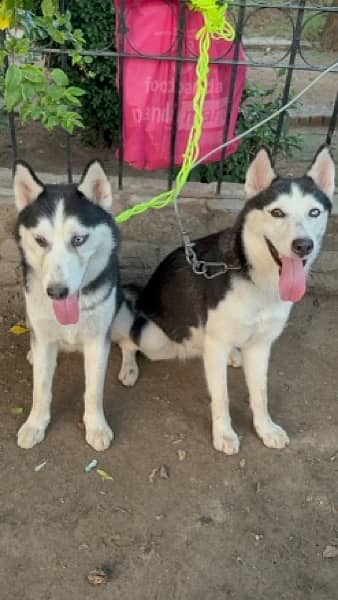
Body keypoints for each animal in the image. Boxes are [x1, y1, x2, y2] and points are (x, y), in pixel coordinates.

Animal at [13, 159, 121, 450]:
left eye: (78, 239)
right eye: (40, 240)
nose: (57, 292)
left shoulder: (97, 339)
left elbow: (93, 390)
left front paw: (96, 426)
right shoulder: (43, 336)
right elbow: (41, 388)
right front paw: (35, 424)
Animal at [112, 146, 334, 454]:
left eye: (314, 212)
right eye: (277, 212)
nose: (303, 246)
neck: (256, 280)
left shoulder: (261, 345)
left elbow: (260, 393)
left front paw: (265, 428)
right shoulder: (216, 345)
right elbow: (222, 396)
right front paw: (224, 433)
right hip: (153, 338)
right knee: (129, 341)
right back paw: (130, 367)